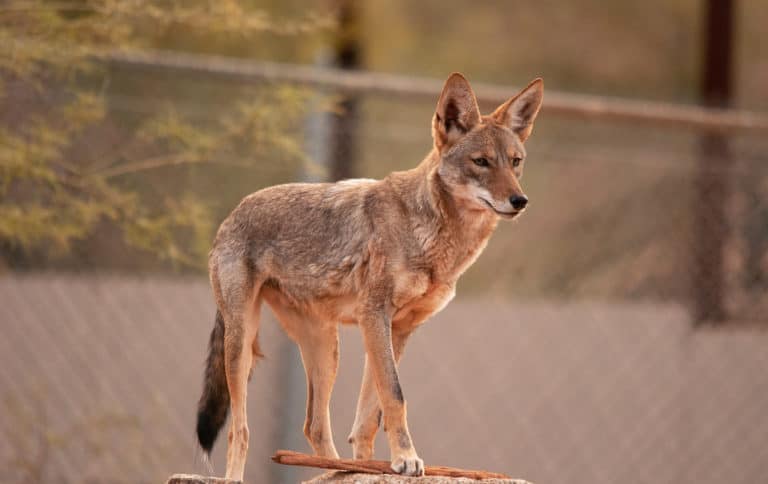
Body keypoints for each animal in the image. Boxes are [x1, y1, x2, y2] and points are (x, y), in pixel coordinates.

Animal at [195, 72, 543, 480]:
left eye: (515, 162)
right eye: (481, 162)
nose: (519, 201)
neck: (434, 235)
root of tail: (233, 213)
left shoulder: (399, 328)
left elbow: (369, 417)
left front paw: (375, 464)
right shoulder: (374, 315)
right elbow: (395, 396)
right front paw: (406, 459)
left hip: (326, 348)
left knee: (313, 425)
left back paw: (335, 470)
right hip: (241, 345)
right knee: (241, 429)